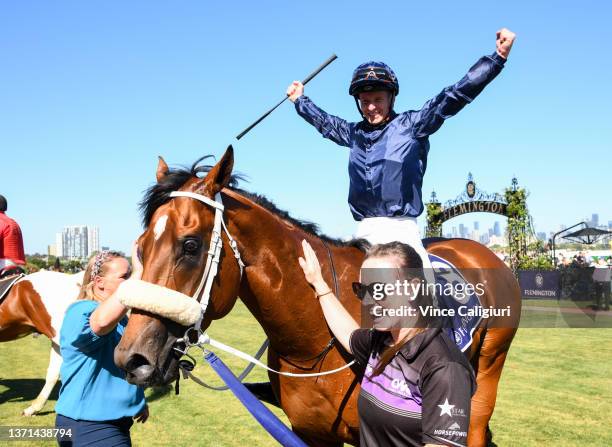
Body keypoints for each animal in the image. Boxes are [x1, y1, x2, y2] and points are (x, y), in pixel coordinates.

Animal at [115, 148, 520, 447]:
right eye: (141, 246)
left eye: (190, 245)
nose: (131, 359)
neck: (313, 341)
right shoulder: (311, 432)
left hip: (488, 370)